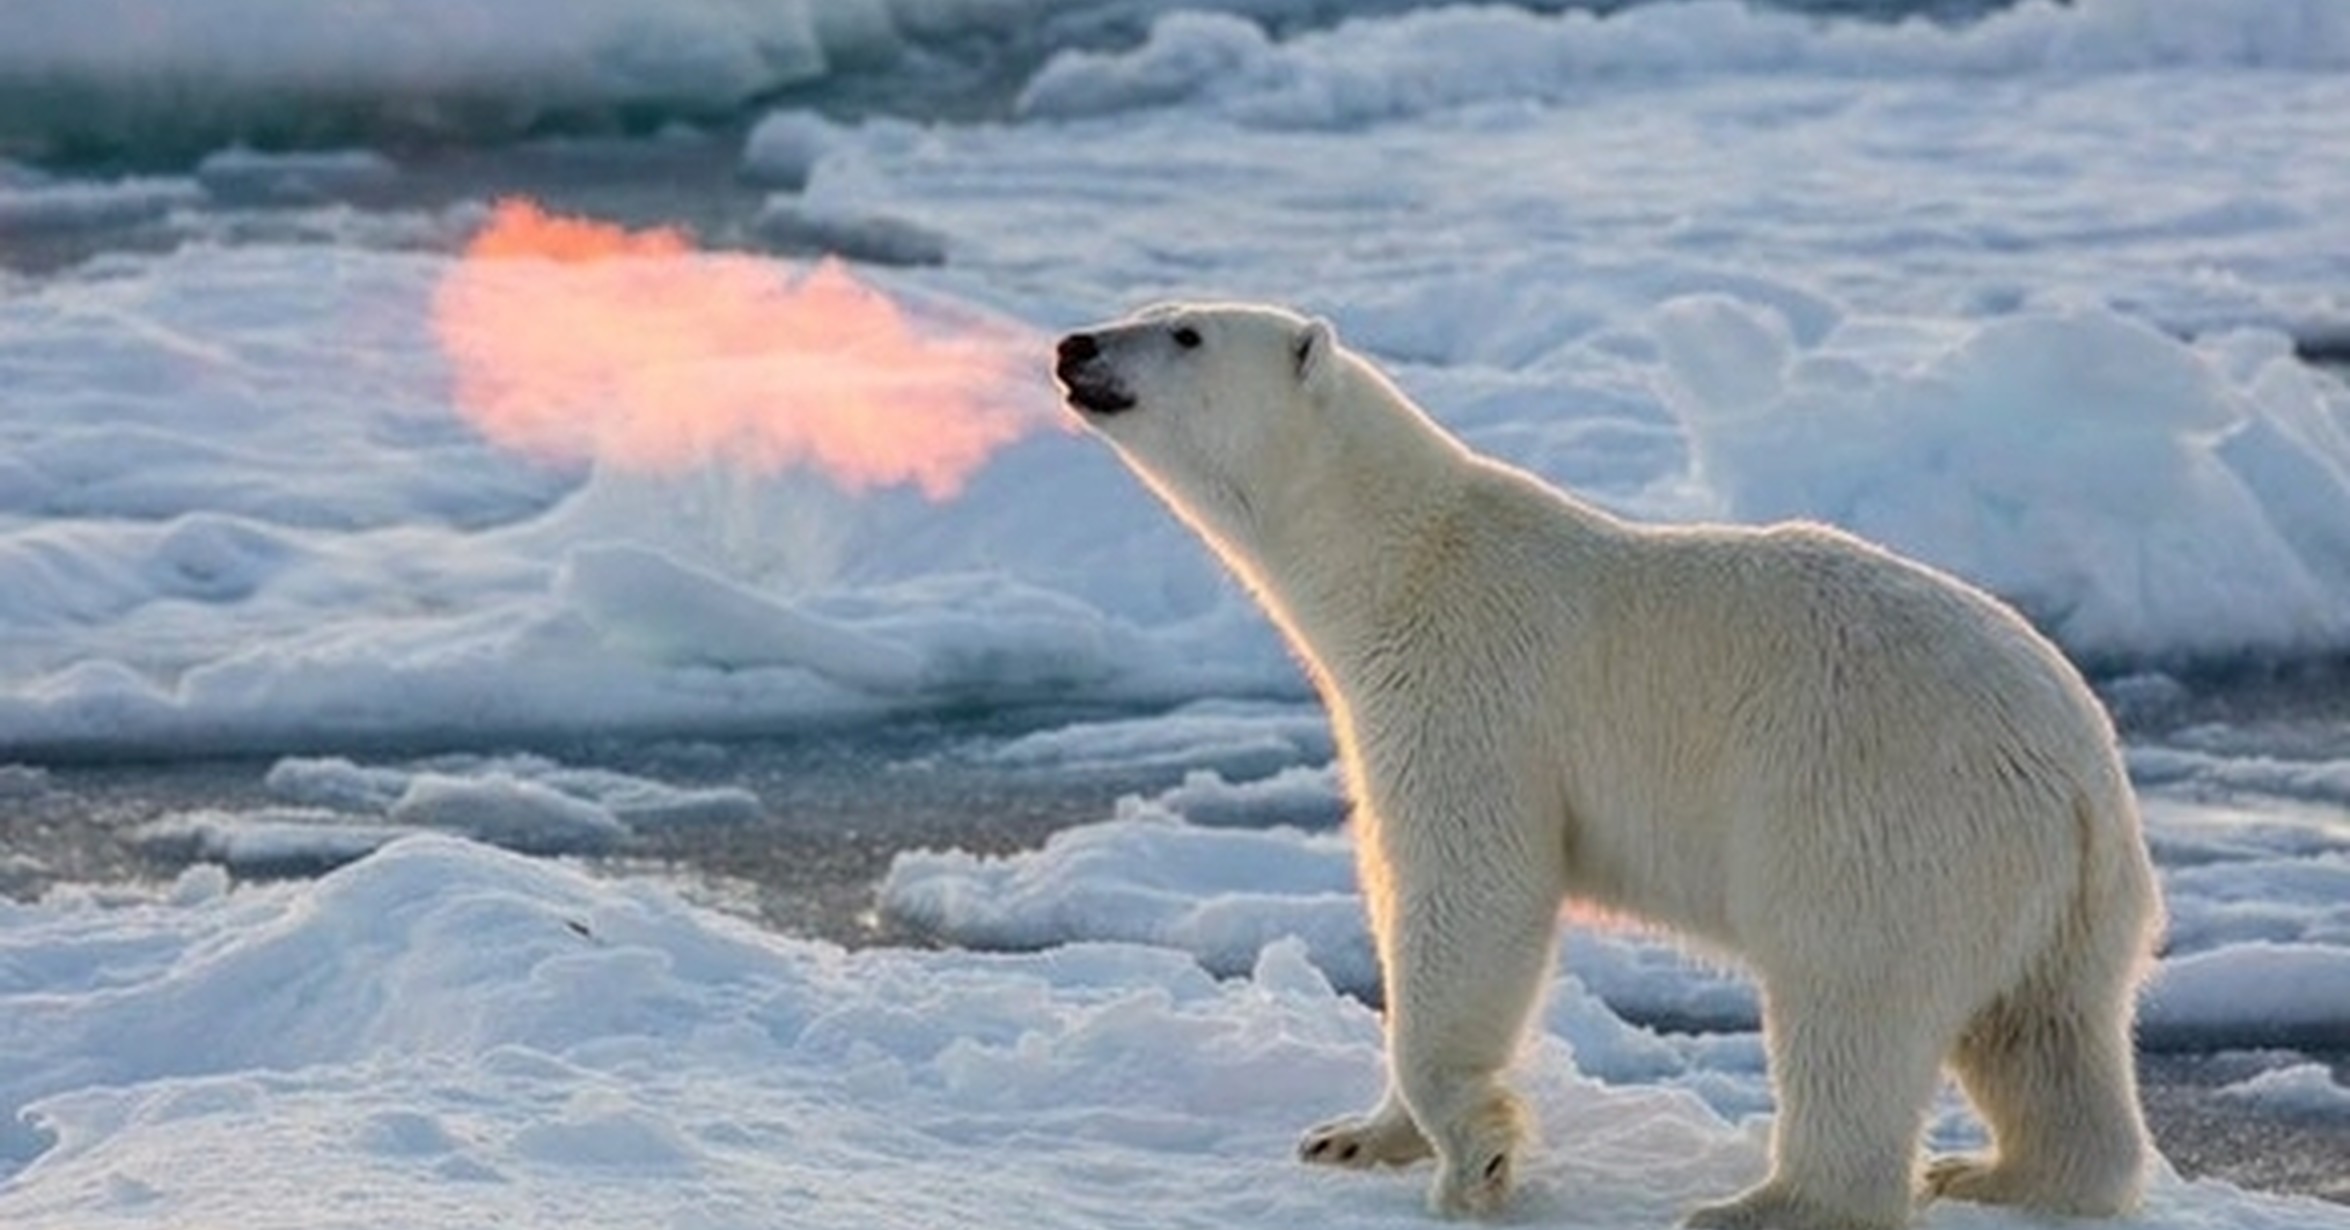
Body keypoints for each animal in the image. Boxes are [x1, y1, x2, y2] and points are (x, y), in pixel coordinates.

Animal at [1057, 301, 2152, 1230]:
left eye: (1184, 332)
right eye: (1150, 305)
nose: (1074, 345)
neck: (1401, 560)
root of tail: (2079, 777)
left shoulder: (1470, 690)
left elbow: (1471, 889)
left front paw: (1475, 1159)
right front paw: (1352, 1137)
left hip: (1884, 813)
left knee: (1851, 1003)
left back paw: (1768, 1203)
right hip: (2061, 898)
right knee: (2045, 1032)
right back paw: (2003, 1174)